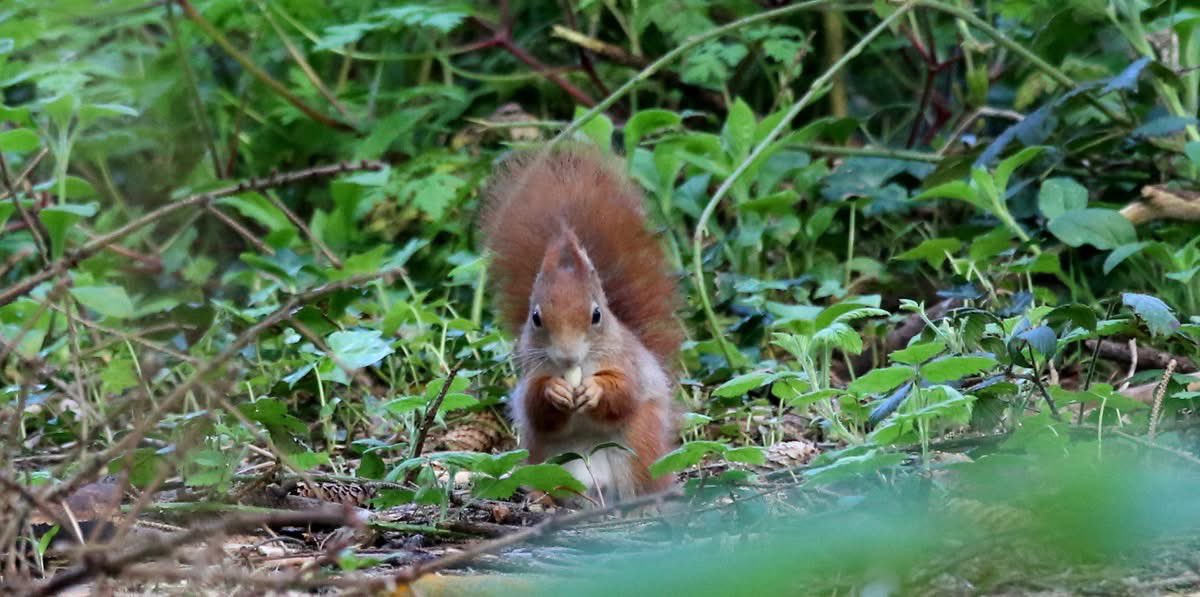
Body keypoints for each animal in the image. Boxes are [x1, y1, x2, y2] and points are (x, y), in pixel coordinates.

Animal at [479, 145, 682, 503]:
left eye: (596, 314)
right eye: (536, 317)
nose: (568, 356)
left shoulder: (627, 363)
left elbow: (625, 393)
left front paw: (595, 389)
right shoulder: (531, 372)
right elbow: (534, 405)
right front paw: (554, 390)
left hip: (640, 444)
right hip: (548, 461)